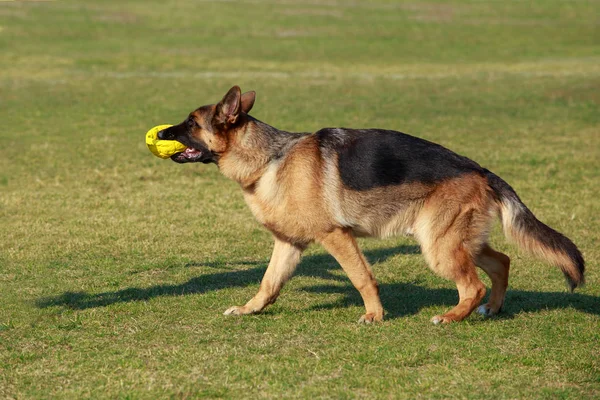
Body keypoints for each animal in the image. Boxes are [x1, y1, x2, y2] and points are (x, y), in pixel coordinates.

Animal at [157, 86, 584, 324]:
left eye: (190, 123)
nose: (159, 134)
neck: (269, 158)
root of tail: (481, 170)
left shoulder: (337, 236)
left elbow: (362, 277)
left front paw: (374, 316)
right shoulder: (289, 244)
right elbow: (268, 283)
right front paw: (250, 311)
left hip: (439, 246)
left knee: (473, 285)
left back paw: (450, 317)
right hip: (457, 242)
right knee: (501, 263)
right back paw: (491, 310)